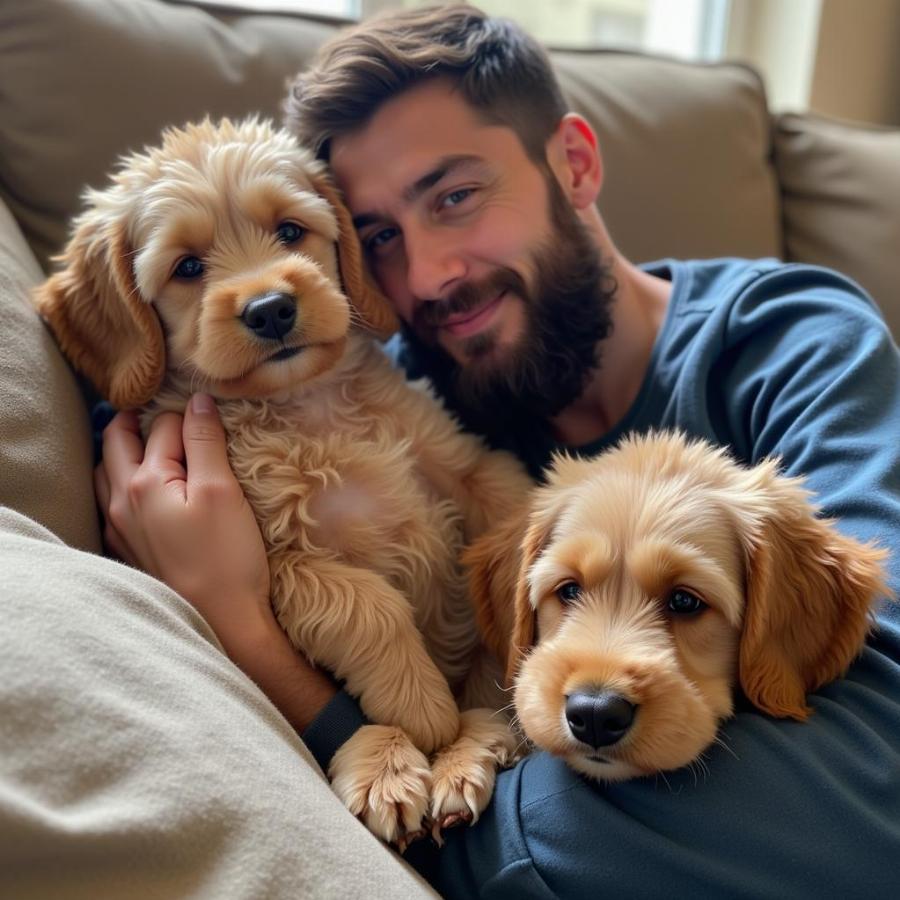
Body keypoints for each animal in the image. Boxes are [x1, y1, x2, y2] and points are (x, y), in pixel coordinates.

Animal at [35, 118, 528, 844]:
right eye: (187, 267)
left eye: (291, 231)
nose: (269, 309)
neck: (306, 405)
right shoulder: (277, 560)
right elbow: (366, 604)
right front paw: (419, 712)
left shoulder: (456, 462)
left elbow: (509, 497)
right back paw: (400, 766)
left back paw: (464, 757)